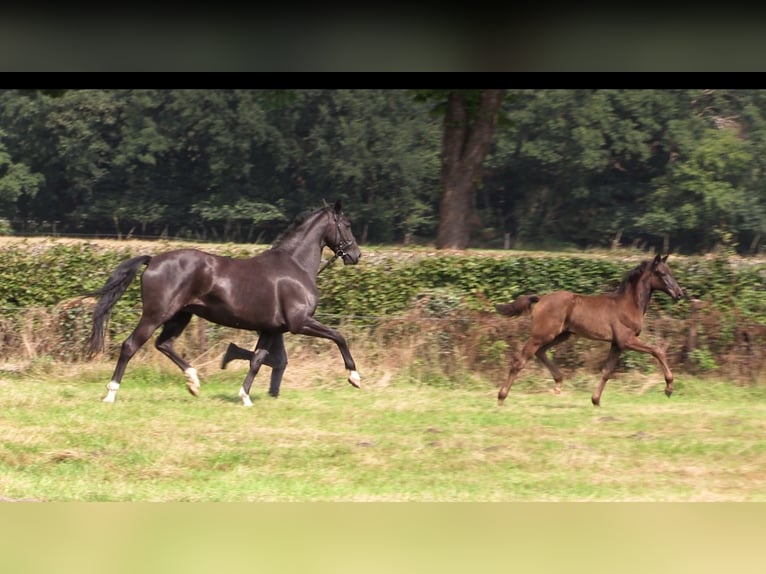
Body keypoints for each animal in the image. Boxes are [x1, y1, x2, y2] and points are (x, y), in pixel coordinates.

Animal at [87, 200, 364, 408]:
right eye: (347, 225)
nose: (355, 255)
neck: (295, 266)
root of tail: (153, 260)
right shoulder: (300, 323)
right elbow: (339, 337)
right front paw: (355, 377)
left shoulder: (270, 329)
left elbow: (257, 360)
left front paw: (245, 397)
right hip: (155, 315)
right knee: (130, 345)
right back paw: (111, 394)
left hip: (180, 316)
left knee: (164, 344)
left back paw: (193, 383)